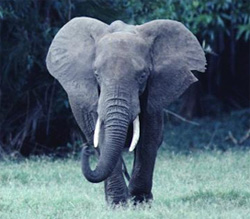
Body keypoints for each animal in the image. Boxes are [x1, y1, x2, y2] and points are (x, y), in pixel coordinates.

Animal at [46, 17, 206, 205]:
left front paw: (140, 202)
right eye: (96, 75)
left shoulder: (154, 94)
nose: (84, 149)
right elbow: (103, 138)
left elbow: (148, 138)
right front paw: (119, 205)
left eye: (143, 76)